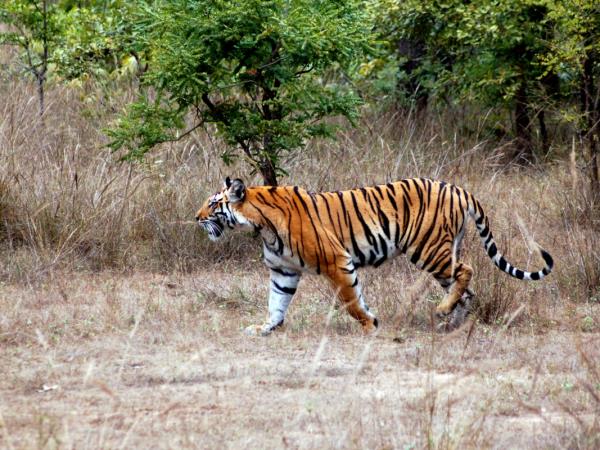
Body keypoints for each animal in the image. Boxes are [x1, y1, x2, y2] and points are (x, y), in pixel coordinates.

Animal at [196, 178, 552, 336]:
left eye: (213, 204)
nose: (196, 217)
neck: (261, 225)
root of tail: (456, 187)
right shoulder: (283, 272)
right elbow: (276, 302)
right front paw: (265, 327)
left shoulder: (336, 261)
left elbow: (351, 300)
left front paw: (370, 324)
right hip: (444, 251)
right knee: (465, 288)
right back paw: (451, 321)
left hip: (429, 249)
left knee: (467, 271)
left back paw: (444, 311)